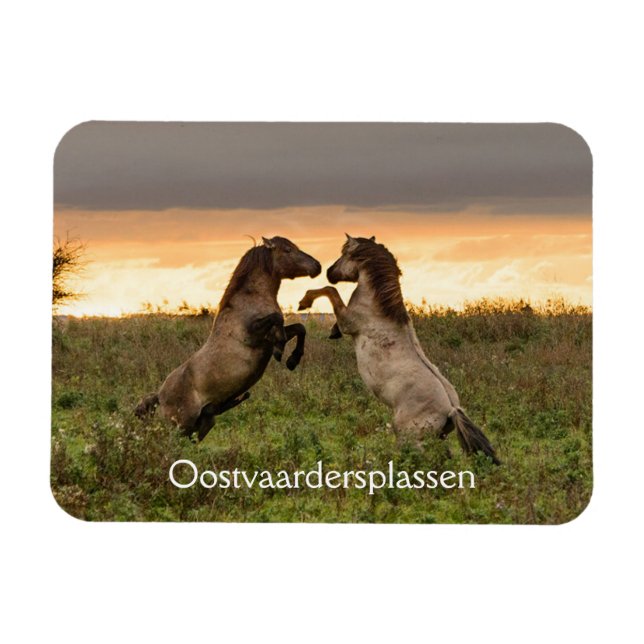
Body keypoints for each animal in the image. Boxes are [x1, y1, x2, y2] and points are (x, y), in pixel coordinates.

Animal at [135, 236, 321, 441]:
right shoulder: (253, 335)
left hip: (202, 425)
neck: (250, 301)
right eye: (288, 250)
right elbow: (278, 319)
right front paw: (281, 351)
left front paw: (292, 360)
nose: (317, 266)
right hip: (180, 427)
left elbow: (300, 328)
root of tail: (159, 397)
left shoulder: (268, 338)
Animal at [298, 234, 500, 464]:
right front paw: (332, 330)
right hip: (436, 438)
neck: (376, 307)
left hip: (408, 436)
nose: (329, 272)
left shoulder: (348, 321)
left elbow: (331, 292)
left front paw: (304, 302)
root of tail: (451, 409)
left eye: (345, 254)